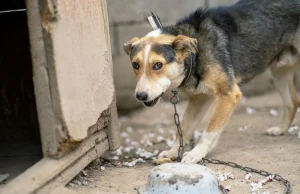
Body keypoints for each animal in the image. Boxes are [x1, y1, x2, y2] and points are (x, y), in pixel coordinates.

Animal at [123, 0, 300, 164]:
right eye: (135, 65)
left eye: (158, 65)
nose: (140, 96)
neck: (194, 55)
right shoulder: (200, 98)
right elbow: (184, 127)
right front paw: (173, 151)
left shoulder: (228, 95)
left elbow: (209, 130)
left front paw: (196, 153)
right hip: (279, 71)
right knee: (292, 102)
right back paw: (280, 129)